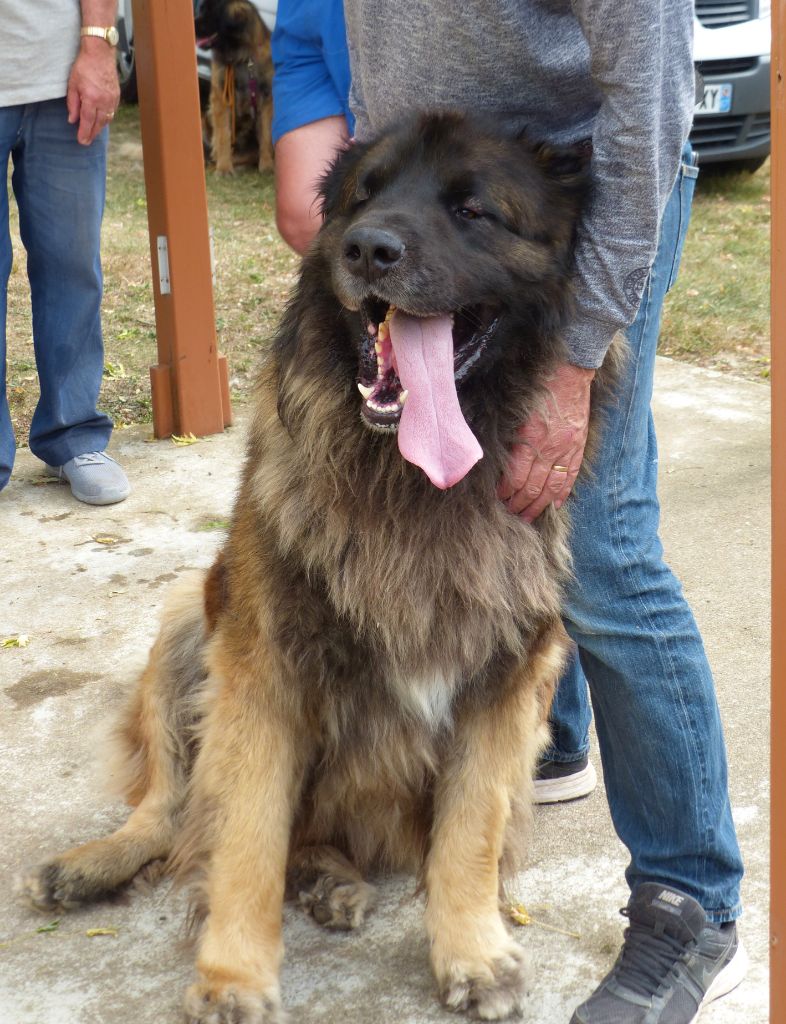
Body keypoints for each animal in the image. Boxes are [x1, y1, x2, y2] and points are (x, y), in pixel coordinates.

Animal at [19, 114, 622, 1024]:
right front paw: (232, 979)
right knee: (170, 809)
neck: (407, 484)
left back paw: (330, 879)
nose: (370, 250)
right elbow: (244, 836)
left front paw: (472, 952)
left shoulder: (507, 675)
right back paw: (95, 862)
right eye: (362, 198)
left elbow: (471, 833)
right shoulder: (262, 671)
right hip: (186, 621)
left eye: (473, 209)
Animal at [194, 0, 274, 175]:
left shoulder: (267, 98)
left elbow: (266, 134)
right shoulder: (221, 98)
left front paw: (267, 165)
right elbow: (223, 134)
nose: (192, 25)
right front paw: (224, 168)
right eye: (200, 9)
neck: (242, 57)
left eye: (209, 12)